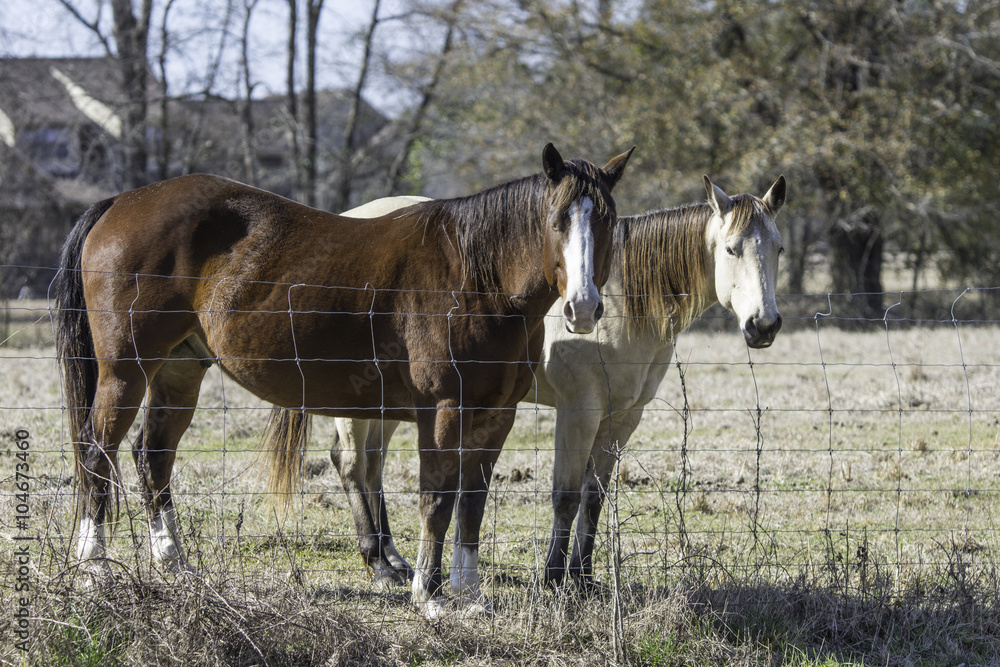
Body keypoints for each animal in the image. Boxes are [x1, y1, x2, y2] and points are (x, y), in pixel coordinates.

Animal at [54, 144, 632, 620]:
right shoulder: (443, 413)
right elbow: (437, 499)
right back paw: (93, 570)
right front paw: (430, 596)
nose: (583, 308)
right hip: (125, 372)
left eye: (606, 221)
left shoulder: (495, 417)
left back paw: (176, 565)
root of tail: (121, 203)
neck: (476, 282)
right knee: (96, 454)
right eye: (557, 220)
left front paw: (468, 595)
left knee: (151, 458)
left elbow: (472, 501)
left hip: (178, 372)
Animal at [326, 176, 780, 588]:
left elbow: (594, 498)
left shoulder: (621, 418)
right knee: (351, 463)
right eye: (731, 248)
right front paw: (555, 577)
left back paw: (393, 557)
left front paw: (583, 577)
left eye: (777, 247)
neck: (619, 301)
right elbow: (566, 496)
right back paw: (378, 563)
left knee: (373, 466)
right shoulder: (578, 411)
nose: (764, 326)